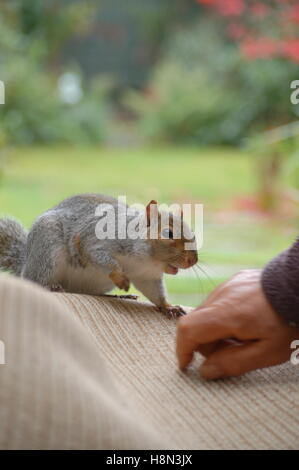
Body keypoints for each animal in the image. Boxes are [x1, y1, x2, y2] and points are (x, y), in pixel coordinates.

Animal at [0, 193, 199, 318]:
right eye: (168, 233)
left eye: (193, 233)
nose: (193, 260)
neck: (146, 261)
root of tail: (26, 260)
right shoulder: (96, 243)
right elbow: (102, 259)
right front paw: (121, 279)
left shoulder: (147, 277)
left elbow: (155, 293)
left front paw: (168, 307)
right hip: (47, 251)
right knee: (33, 280)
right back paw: (51, 287)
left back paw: (117, 297)